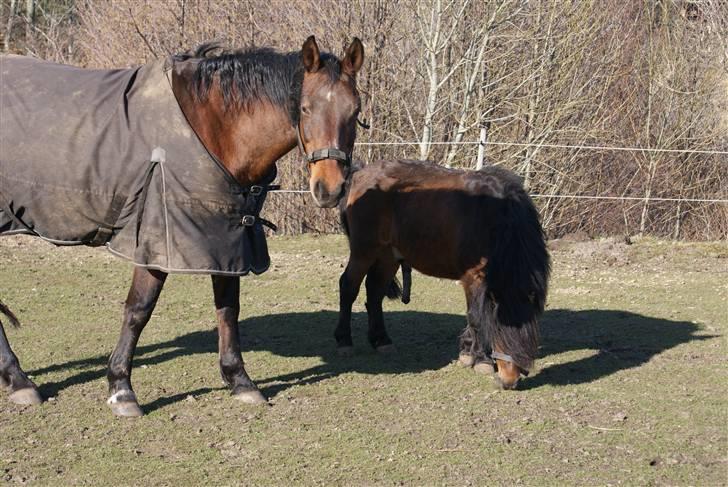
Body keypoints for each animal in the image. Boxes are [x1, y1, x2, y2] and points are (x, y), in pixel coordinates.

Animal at [0, 35, 364, 416]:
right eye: (305, 108)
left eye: (355, 111)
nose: (329, 188)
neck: (215, 126)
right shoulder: (157, 239)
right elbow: (138, 310)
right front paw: (121, 389)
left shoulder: (228, 237)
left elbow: (228, 308)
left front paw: (240, 380)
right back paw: (20, 381)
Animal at [338, 160, 548, 388]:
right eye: (500, 329)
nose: (508, 381)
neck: (493, 219)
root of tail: (358, 174)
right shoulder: (474, 276)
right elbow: (476, 317)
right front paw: (480, 359)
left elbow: (474, 315)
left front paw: (467, 352)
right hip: (364, 252)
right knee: (348, 288)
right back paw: (344, 341)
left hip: (388, 256)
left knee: (375, 293)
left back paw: (381, 340)